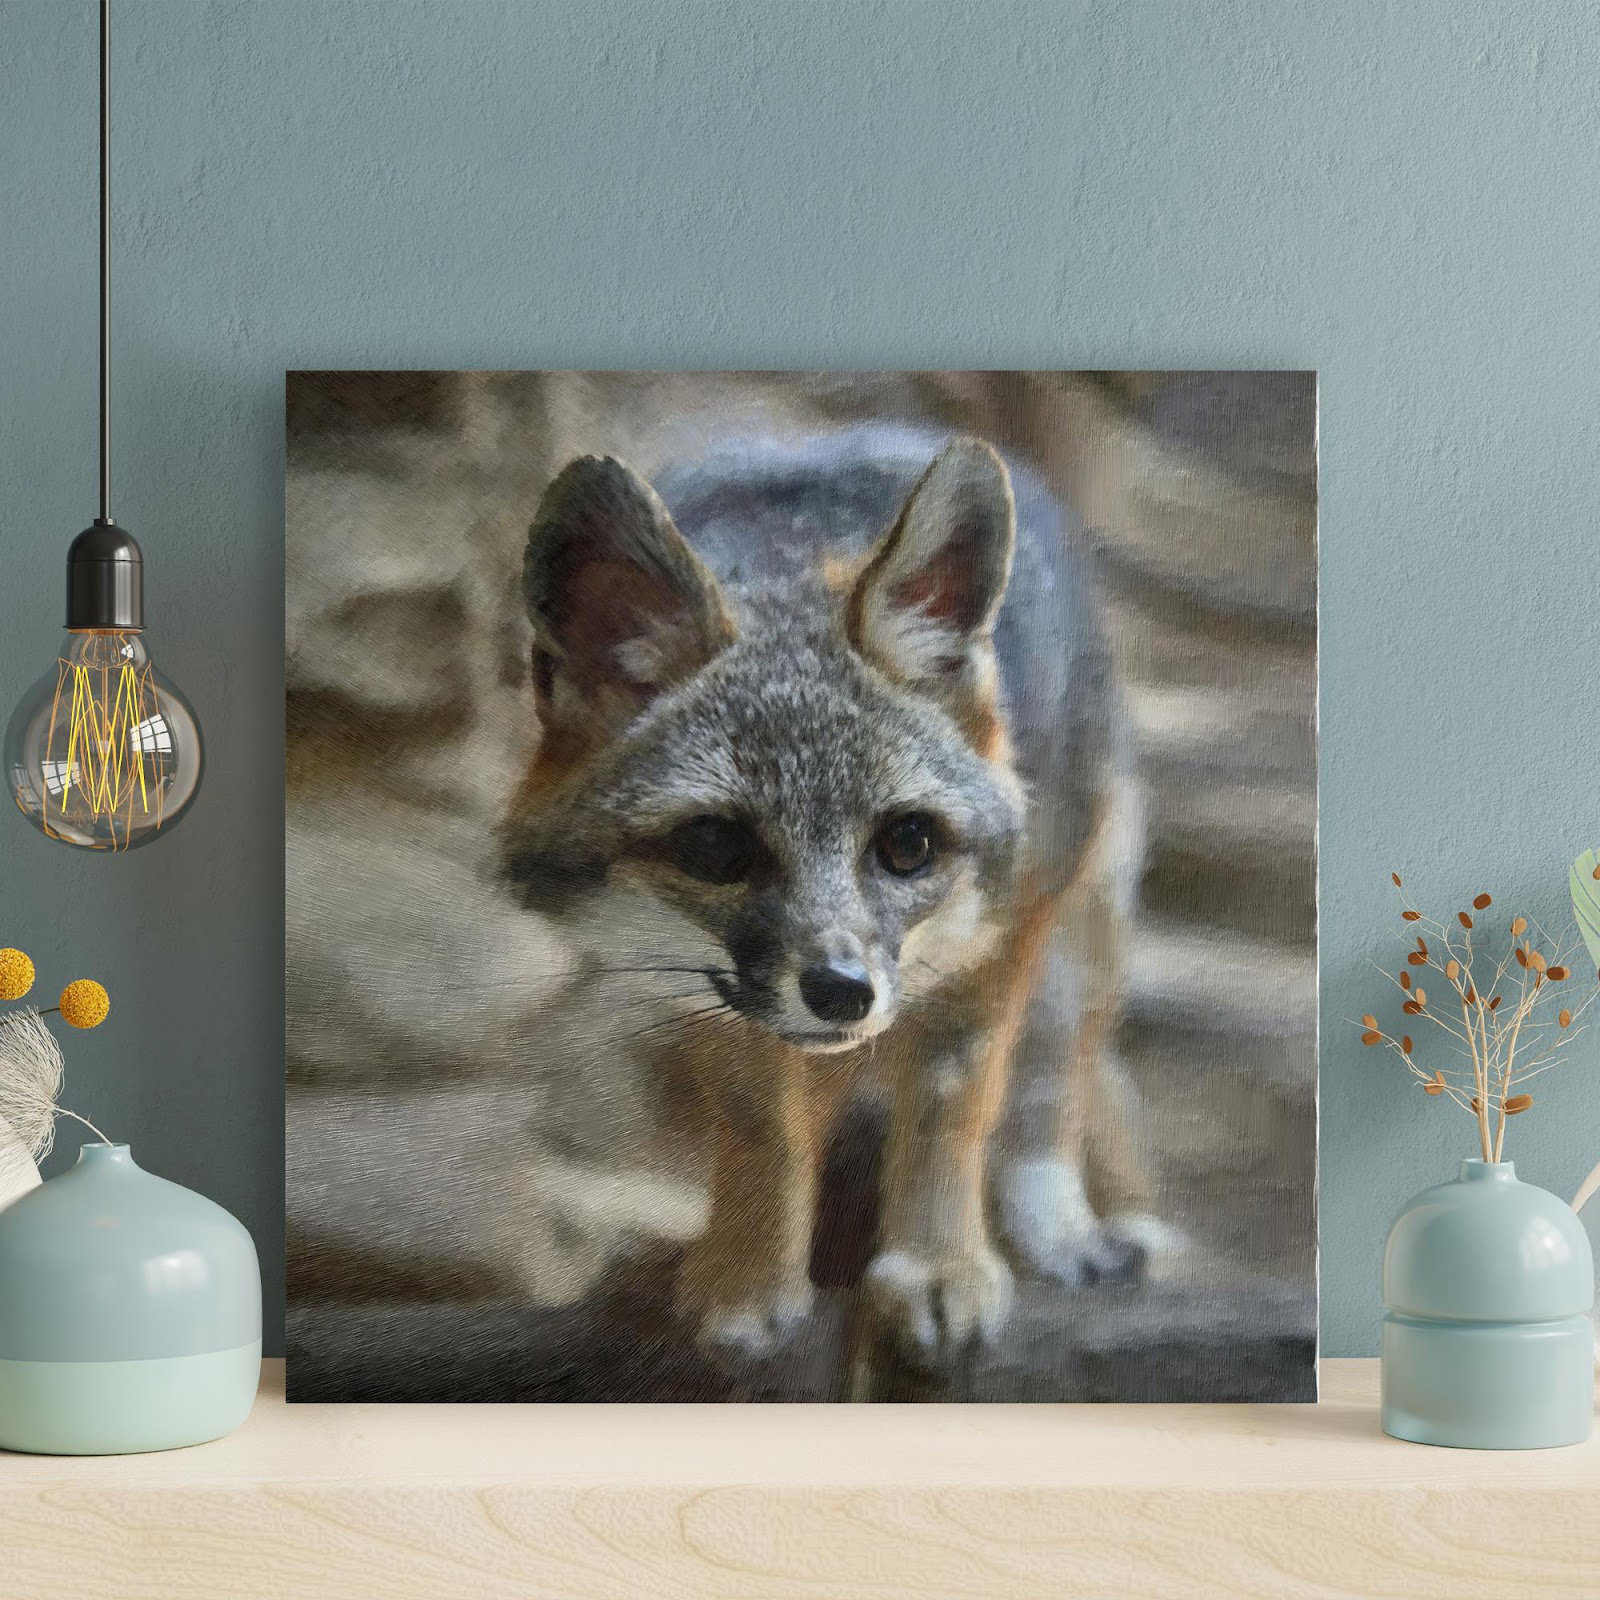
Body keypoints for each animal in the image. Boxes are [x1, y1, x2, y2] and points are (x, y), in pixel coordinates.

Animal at [500, 424, 1167, 1368]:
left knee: (1052, 1082)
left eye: (908, 844)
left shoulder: (1002, 934)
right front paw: (749, 1280)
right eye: (715, 848)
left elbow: (951, 1108)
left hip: (1083, 923)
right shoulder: (720, 1000)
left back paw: (1063, 1230)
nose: (843, 992)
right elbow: (765, 1129)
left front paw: (934, 1265)